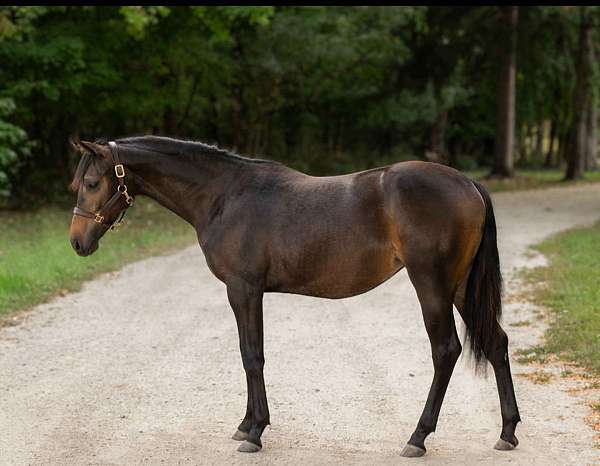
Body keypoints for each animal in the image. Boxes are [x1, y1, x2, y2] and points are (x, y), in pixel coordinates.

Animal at [67, 137, 520, 456]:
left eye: (92, 183)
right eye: (77, 183)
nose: (76, 243)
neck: (225, 196)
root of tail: (468, 183)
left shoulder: (244, 289)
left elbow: (252, 356)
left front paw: (254, 432)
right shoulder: (245, 292)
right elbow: (247, 354)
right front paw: (245, 424)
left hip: (431, 285)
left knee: (445, 350)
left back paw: (418, 437)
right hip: (460, 288)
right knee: (496, 343)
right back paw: (508, 432)